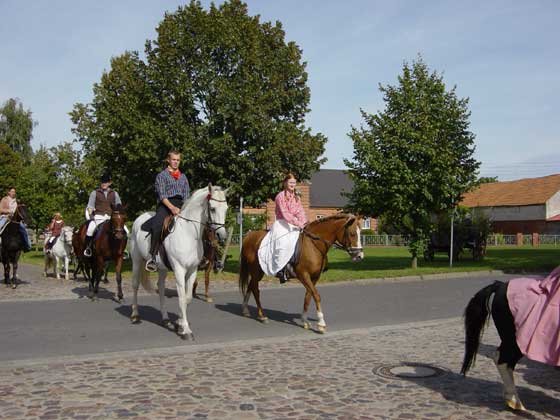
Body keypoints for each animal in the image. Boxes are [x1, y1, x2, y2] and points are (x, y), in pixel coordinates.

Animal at [129, 185, 228, 340]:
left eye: (226, 208)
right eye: (212, 208)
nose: (221, 236)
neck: (188, 233)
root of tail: (139, 218)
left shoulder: (192, 271)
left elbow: (187, 298)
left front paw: (180, 324)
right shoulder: (179, 270)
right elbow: (181, 298)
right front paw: (186, 330)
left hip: (162, 268)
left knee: (161, 288)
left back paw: (165, 319)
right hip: (137, 261)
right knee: (135, 285)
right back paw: (135, 316)